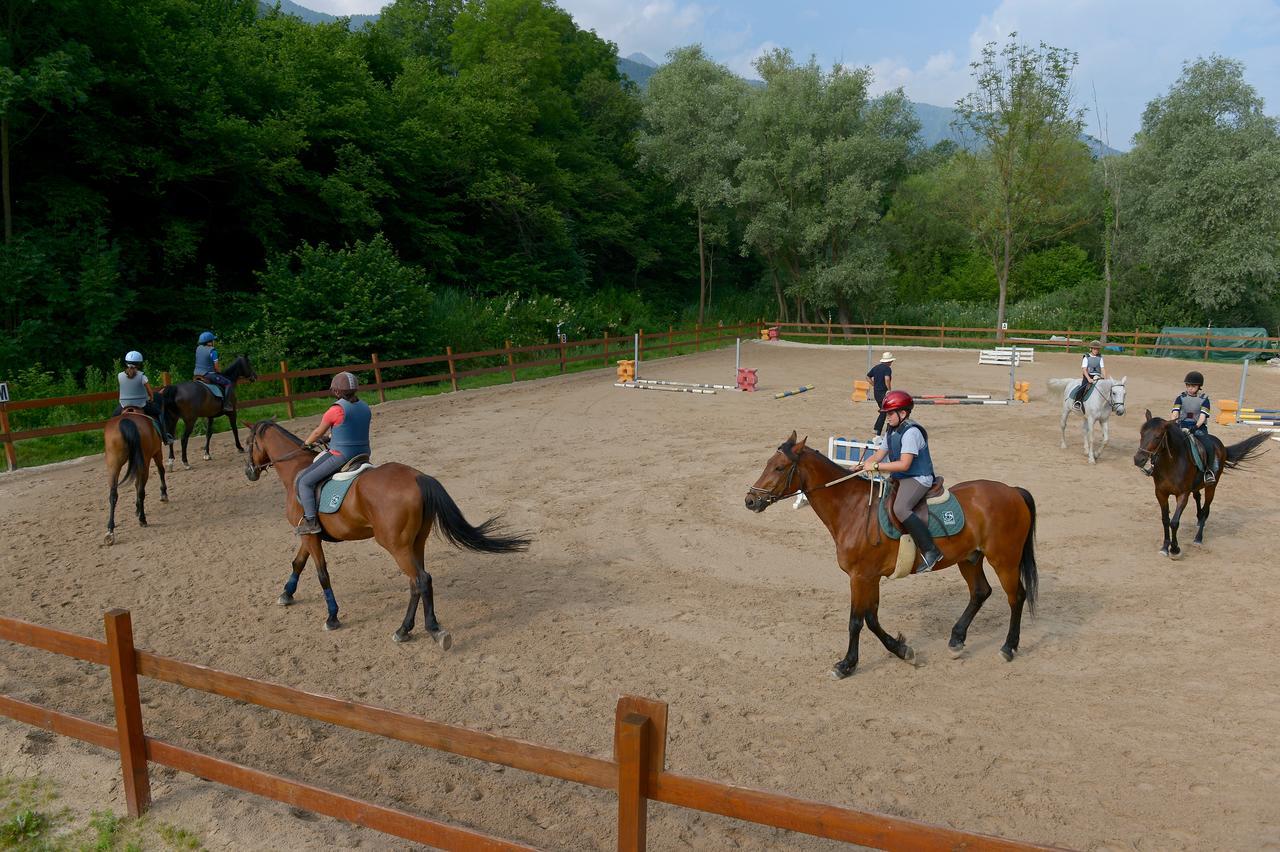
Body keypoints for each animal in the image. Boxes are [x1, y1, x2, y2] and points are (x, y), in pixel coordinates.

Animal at [104, 409, 170, 544]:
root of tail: (126, 421)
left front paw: (137, 508)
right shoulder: (157, 452)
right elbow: (161, 471)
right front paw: (163, 493)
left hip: (114, 463)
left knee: (113, 494)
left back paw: (110, 531)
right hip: (145, 461)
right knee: (141, 490)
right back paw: (142, 519)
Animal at [241, 417, 527, 644]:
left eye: (246, 442)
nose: (249, 472)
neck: (296, 470)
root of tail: (418, 477)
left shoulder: (310, 536)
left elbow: (322, 574)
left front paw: (332, 617)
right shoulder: (308, 535)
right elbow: (298, 563)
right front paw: (286, 594)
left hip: (396, 546)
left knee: (420, 580)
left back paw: (422, 629)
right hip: (415, 543)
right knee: (419, 582)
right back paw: (413, 629)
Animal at [747, 432, 1034, 675]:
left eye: (779, 468)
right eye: (768, 463)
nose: (750, 500)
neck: (852, 509)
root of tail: (1012, 490)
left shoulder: (860, 577)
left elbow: (856, 621)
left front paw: (846, 665)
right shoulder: (870, 577)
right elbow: (871, 618)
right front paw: (902, 650)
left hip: (1004, 560)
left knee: (1016, 597)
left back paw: (1008, 647)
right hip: (969, 558)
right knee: (980, 592)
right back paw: (956, 640)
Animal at [1136, 411, 1264, 557]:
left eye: (1157, 437)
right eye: (1141, 433)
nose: (1138, 459)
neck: (1171, 464)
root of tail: (1221, 446)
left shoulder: (1182, 495)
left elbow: (1174, 522)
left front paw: (1175, 549)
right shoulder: (1160, 493)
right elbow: (1165, 520)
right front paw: (1164, 547)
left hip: (1211, 487)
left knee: (1205, 510)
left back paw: (1198, 538)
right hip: (1196, 486)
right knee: (1198, 498)